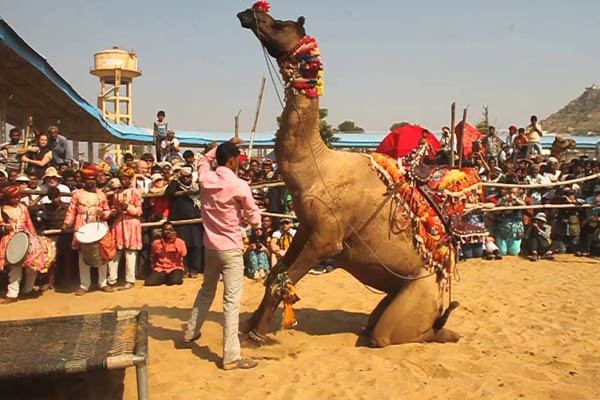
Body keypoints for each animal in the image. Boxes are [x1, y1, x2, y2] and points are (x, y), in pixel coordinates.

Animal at [238, 3, 460, 346]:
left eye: (280, 25)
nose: (249, 13)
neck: (317, 167)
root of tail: (439, 302)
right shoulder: (306, 228)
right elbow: (275, 276)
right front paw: (249, 325)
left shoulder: (327, 240)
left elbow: (283, 282)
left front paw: (257, 335)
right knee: (378, 324)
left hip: (415, 299)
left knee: (386, 334)